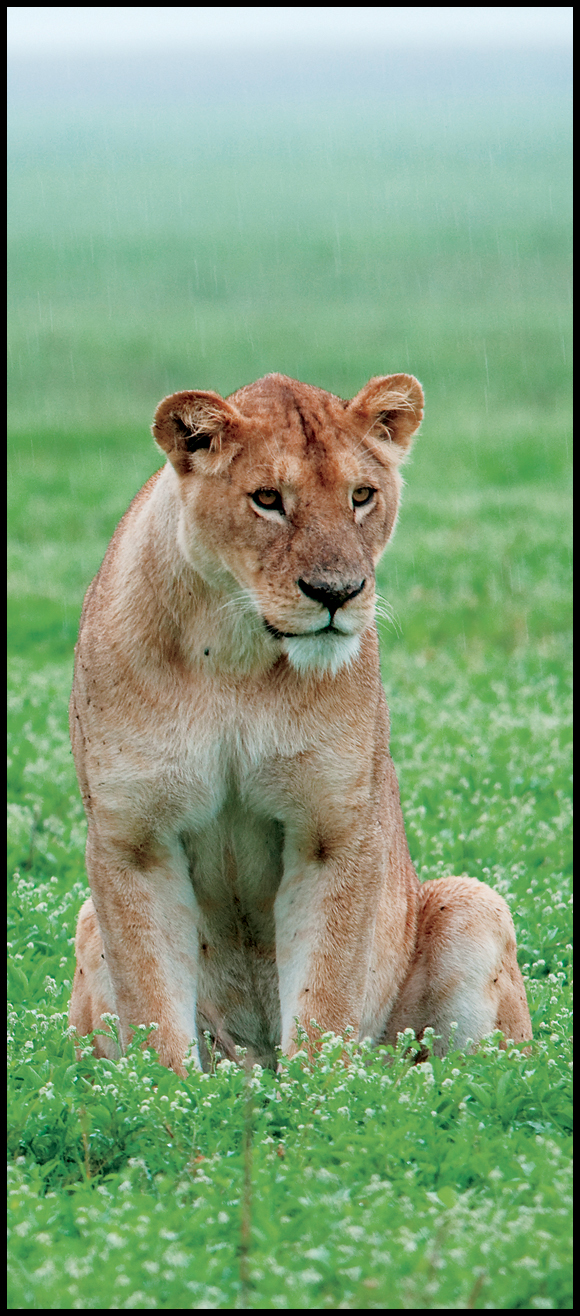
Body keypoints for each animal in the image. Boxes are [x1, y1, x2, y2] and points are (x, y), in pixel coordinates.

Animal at [67, 371, 528, 1068]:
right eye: (267, 499)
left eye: (361, 496)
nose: (336, 593)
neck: (234, 654)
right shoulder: (134, 839)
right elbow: (151, 1006)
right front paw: (171, 1091)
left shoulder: (333, 830)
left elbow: (325, 993)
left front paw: (320, 1088)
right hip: (88, 922)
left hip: (476, 904)